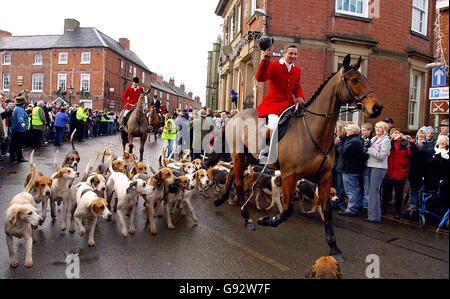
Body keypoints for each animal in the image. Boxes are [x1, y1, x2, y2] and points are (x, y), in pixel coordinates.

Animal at [214, 54, 384, 262]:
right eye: (354, 80)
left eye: (364, 78)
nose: (377, 107)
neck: (313, 131)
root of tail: (236, 115)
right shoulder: (289, 175)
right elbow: (286, 209)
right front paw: (266, 220)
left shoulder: (325, 177)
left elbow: (327, 211)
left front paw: (334, 247)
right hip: (238, 155)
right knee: (238, 182)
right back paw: (247, 219)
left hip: (248, 157)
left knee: (231, 175)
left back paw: (221, 201)